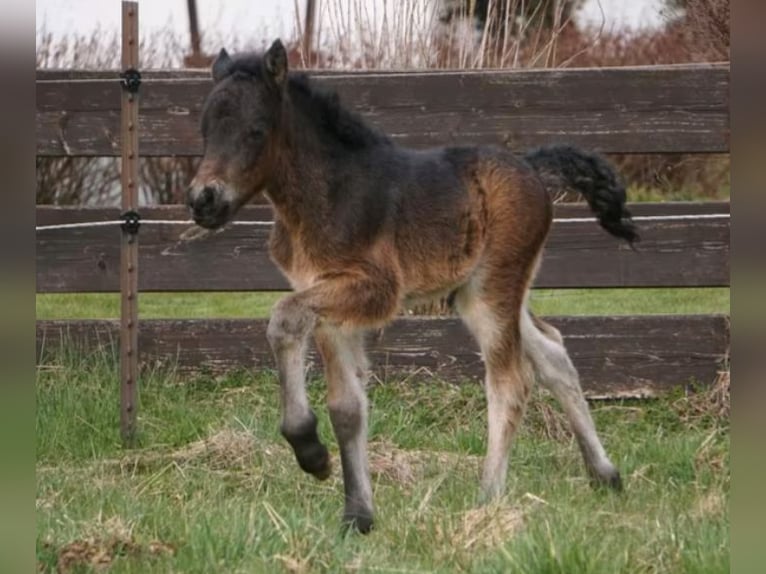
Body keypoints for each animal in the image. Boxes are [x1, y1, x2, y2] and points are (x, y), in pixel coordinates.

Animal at [187, 39, 637, 534]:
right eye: (205, 130)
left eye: (256, 131)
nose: (203, 199)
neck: (330, 194)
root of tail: (530, 166)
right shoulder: (324, 303)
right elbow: (347, 408)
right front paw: (357, 516)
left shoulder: (374, 289)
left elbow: (282, 319)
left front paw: (310, 451)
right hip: (489, 288)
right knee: (553, 352)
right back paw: (605, 474)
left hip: (490, 291)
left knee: (512, 381)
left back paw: (487, 502)